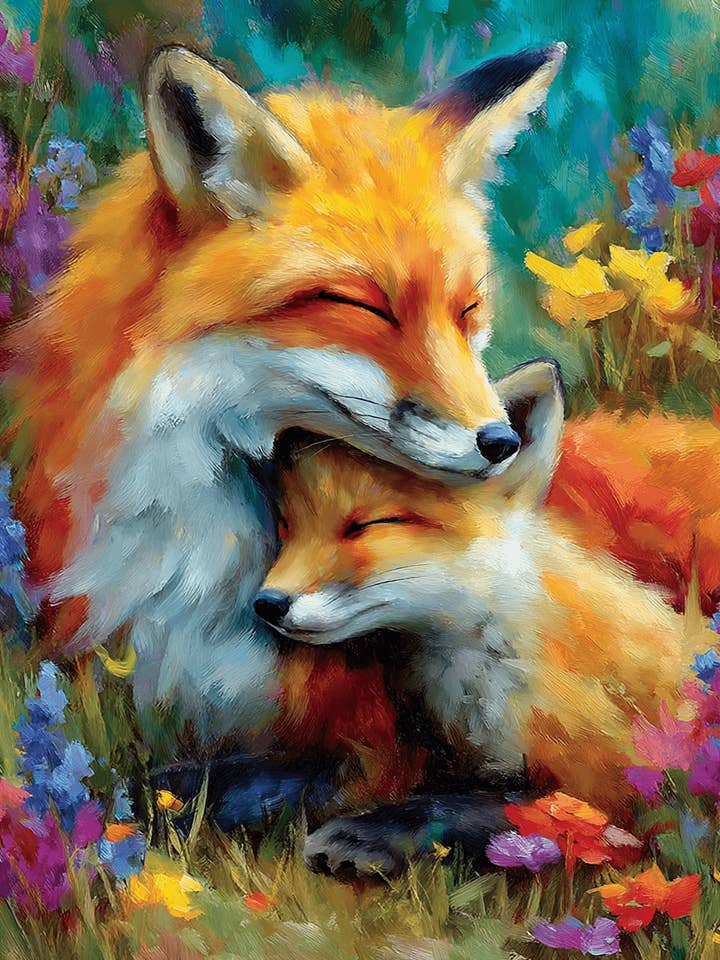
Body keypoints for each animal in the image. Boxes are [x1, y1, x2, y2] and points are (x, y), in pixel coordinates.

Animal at [253, 369, 718, 877]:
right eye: (287, 528)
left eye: (369, 525)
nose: (267, 604)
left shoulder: (617, 788)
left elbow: (463, 807)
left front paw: (365, 835)